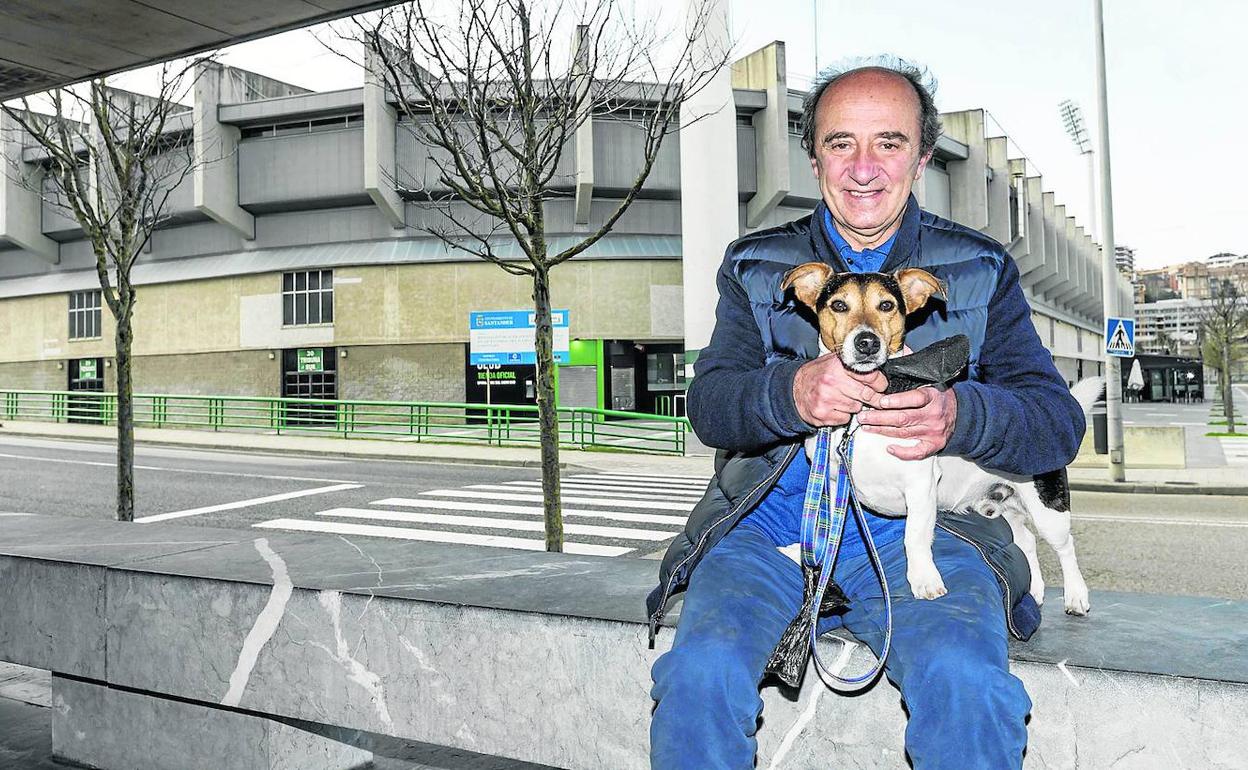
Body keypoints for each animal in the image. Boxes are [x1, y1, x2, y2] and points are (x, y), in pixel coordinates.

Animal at [783, 260, 1098, 616]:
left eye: (886, 306)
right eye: (839, 305)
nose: (867, 342)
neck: (862, 411)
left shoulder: (920, 485)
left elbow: (914, 536)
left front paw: (924, 579)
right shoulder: (836, 483)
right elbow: (827, 535)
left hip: (1048, 510)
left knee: (1065, 547)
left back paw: (1076, 595)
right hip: (1003, 504)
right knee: (1026, 541)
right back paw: (1035, 589)